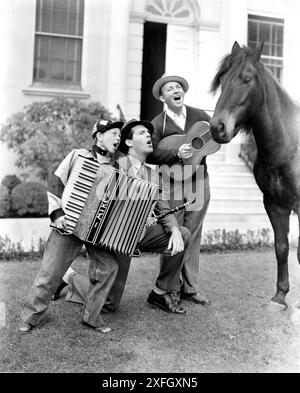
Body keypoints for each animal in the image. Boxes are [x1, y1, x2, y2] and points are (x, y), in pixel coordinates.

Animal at [209, 41, 300, 308]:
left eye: (246, 79)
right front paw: (280, 296)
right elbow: (281, 247)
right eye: (222, 79)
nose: (217, 127)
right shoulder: (275, 205)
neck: (289, 147)